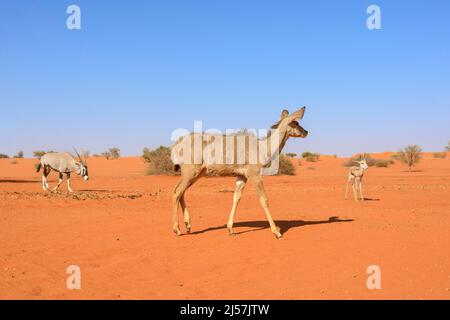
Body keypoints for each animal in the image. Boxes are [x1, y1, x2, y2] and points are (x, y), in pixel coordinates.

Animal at [172, 107, 310, 238]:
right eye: (295, 122)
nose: (306, 132)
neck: (262, 147)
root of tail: (177, 144)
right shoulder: (254, 175)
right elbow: (264, 199)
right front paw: (277, 232)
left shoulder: (242, 176)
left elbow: (236, 197)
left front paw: (231, 229)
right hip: (191, 172)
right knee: (176, 192)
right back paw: (177, 229)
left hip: (198, 173)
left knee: (181, 192)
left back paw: (188, 225)